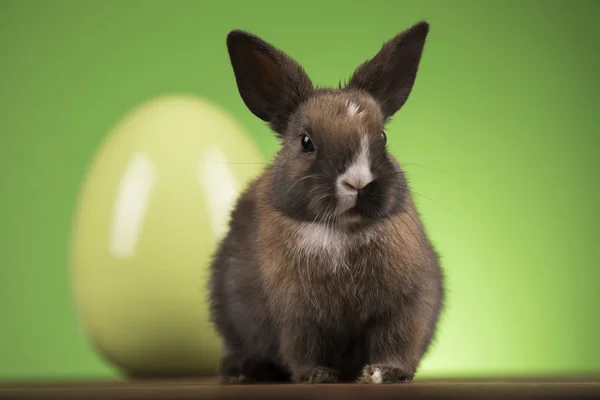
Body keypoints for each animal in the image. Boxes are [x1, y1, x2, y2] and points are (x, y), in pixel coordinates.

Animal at [209, 21, 442, 384]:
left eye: (383, 137)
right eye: (306, 142)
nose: (358, 182)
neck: (341, 234)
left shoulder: (406, 306)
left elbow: (397, 340)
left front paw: (386, 373)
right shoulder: (296, 317)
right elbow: (301, 347)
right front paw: (317, 375)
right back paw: (245, 369)